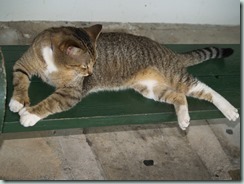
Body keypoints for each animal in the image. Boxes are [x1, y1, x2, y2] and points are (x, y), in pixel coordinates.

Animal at [8, 24, 239, 130]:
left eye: (93, 63)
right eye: (85, 65)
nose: (90, 72)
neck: (54, 64)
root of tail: (168, 51)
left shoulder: (71, 92)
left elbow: (50, 103)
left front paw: (29, 114)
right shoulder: (23, 63)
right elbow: (21, 80)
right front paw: (17, 101)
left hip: (174, 76)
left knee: (203, 89)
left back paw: (230, 110)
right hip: (151, 89)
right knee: (179, 96)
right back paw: (183, 119)